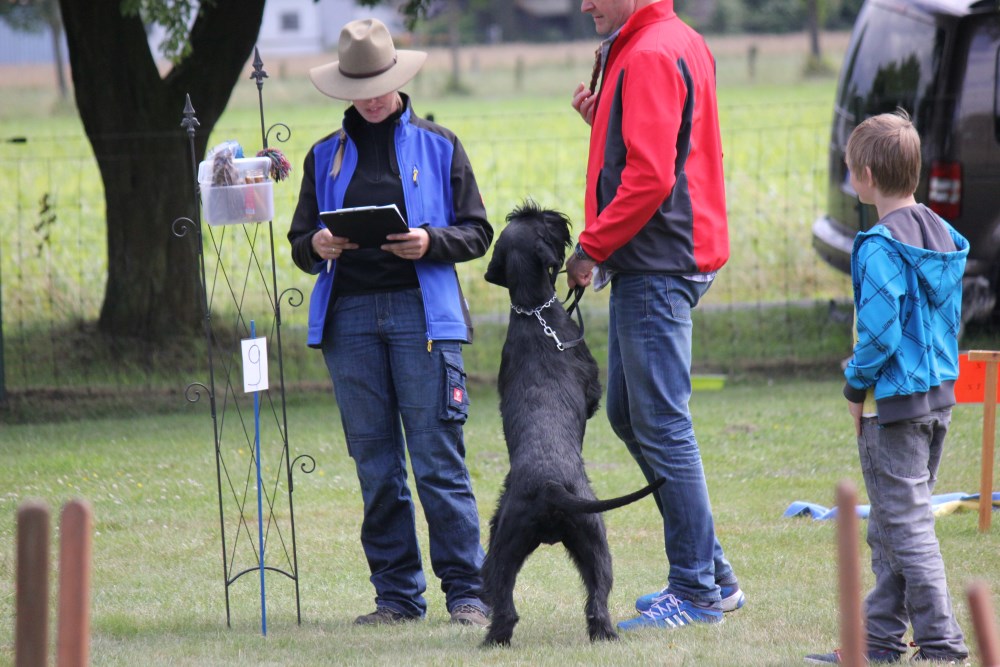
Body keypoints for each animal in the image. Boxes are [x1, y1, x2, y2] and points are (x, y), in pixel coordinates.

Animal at [478, 202, 660, 648]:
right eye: (540, 221)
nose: (557, 216)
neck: (533, 311)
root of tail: (550, 488)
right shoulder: (592, 385)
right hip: (562, 541)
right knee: (571, 602)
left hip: (543, 543)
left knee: (533, 598)